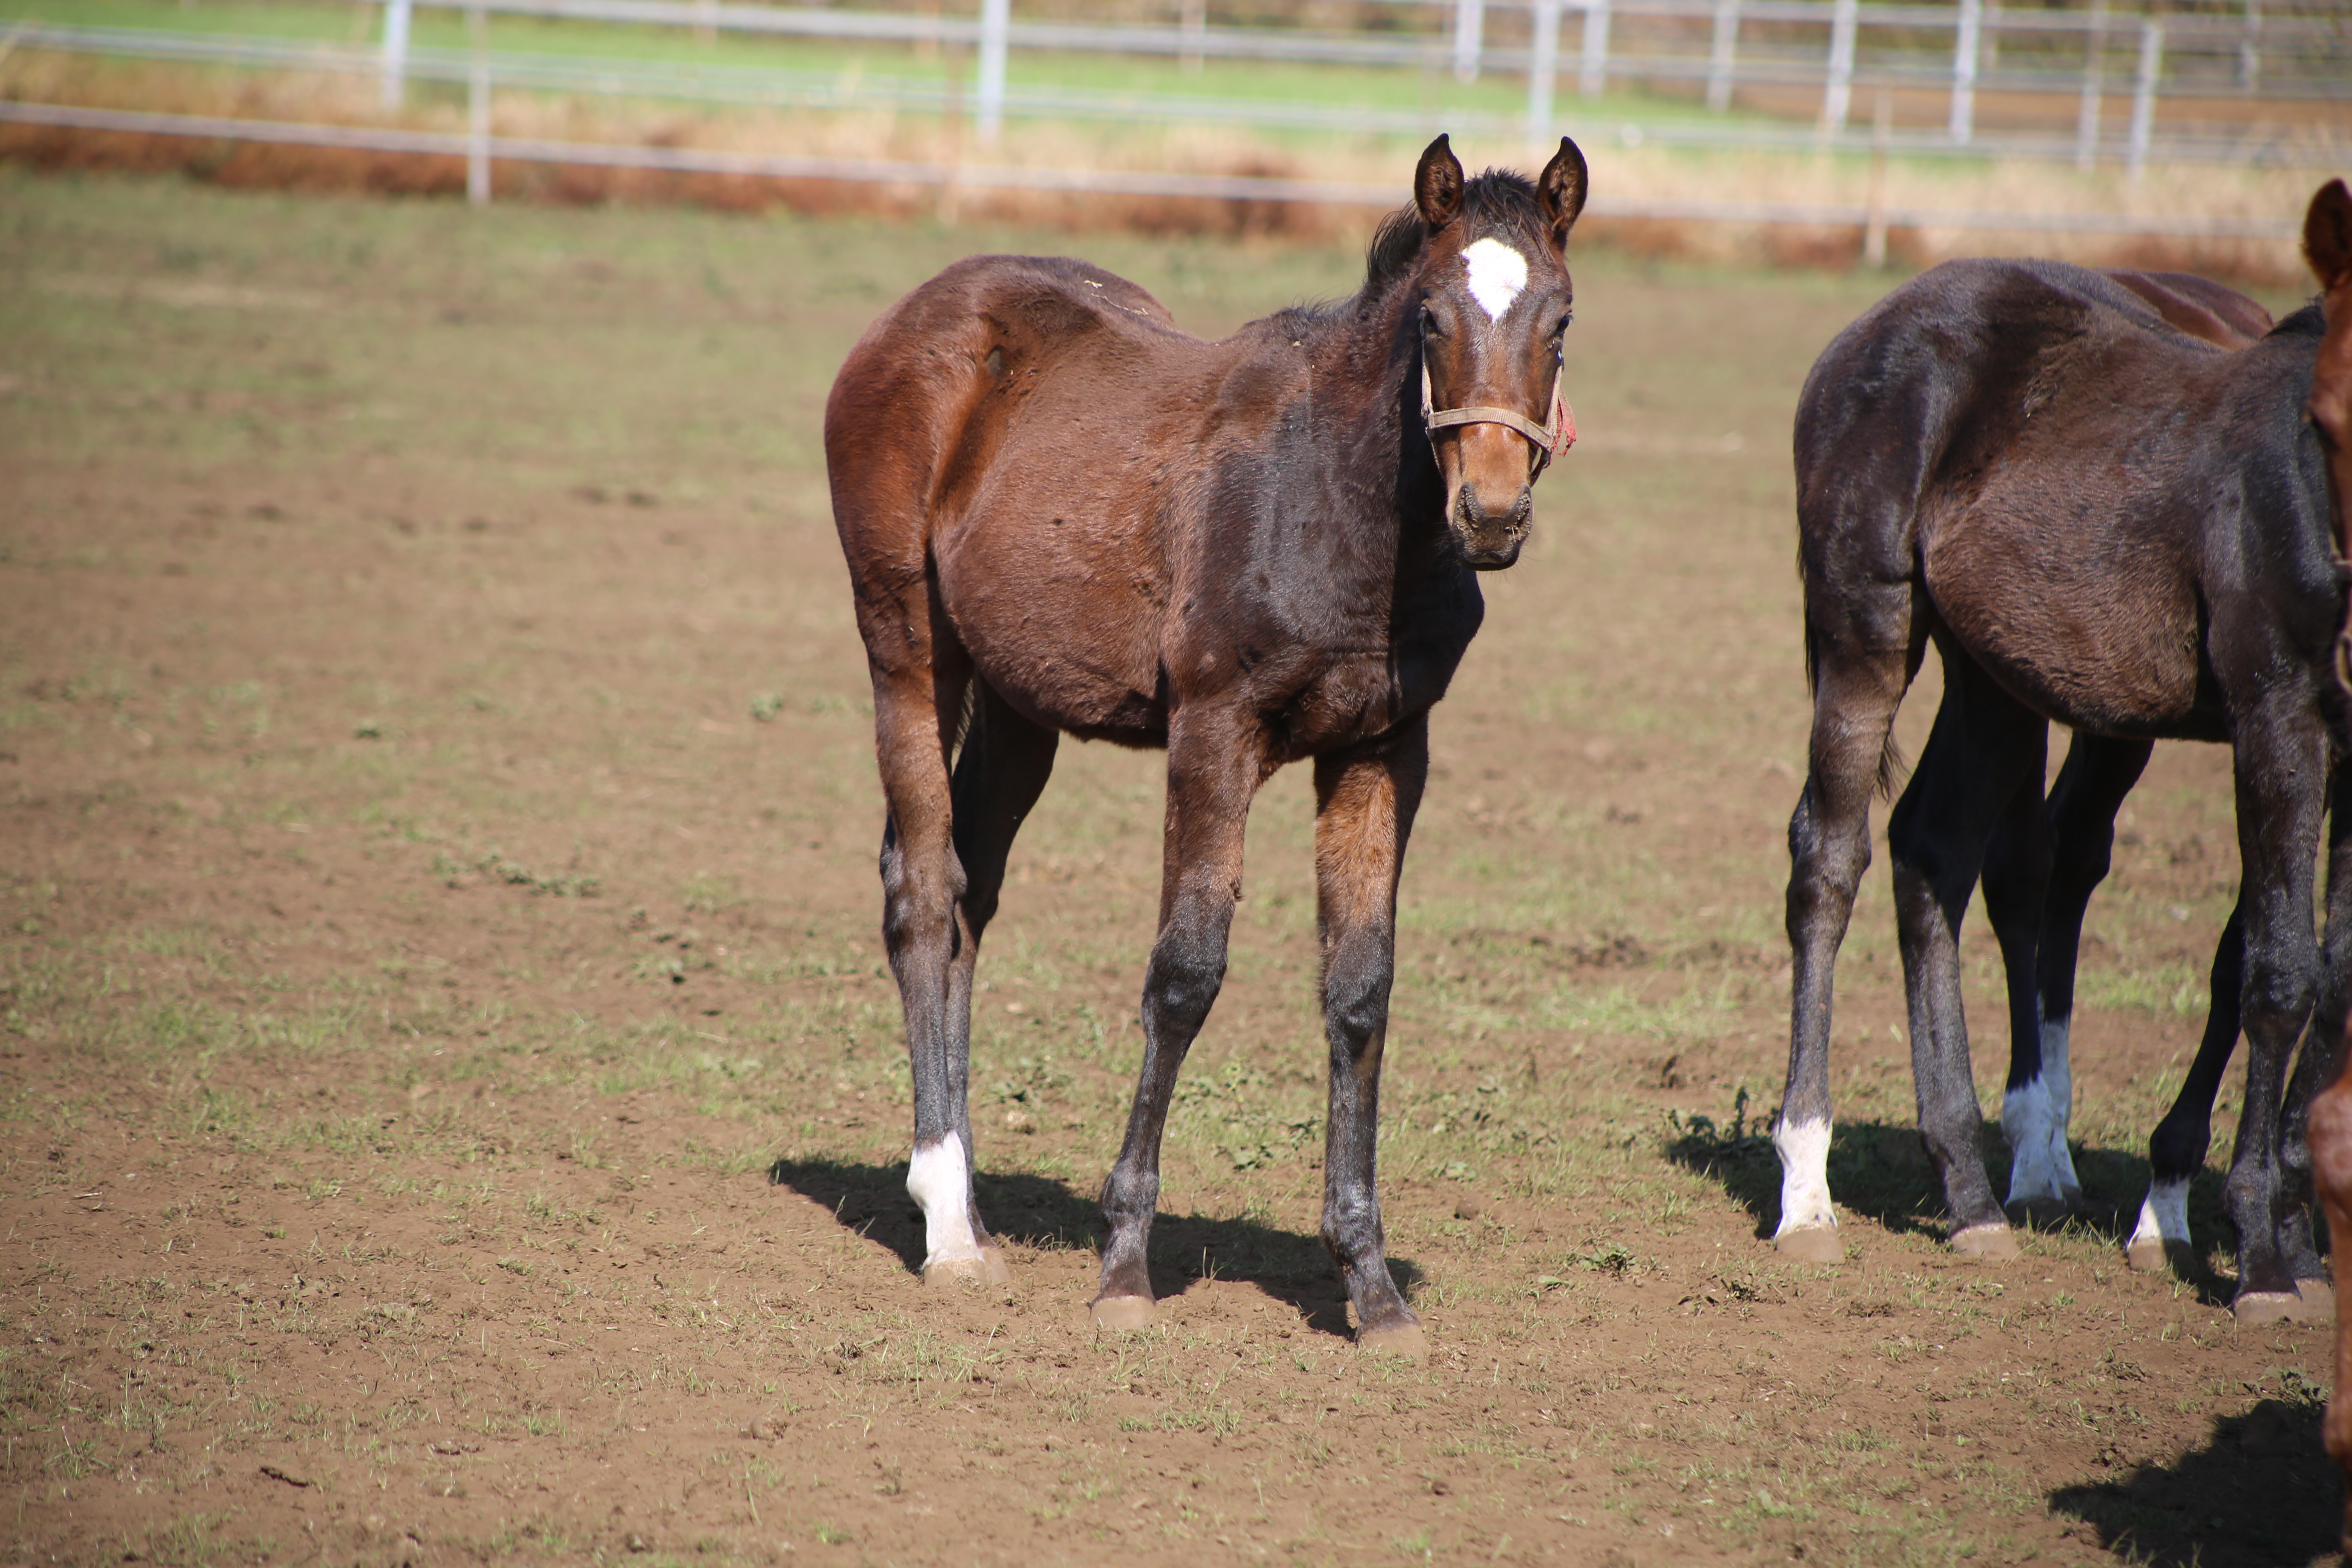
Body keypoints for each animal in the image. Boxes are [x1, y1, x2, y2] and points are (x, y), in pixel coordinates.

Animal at [823, 135, 1580, 1354]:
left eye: (1559, 317)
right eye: (1431, 319)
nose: (1491, 512)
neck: (1340, 505)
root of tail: (912, 315)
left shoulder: (1383, 749)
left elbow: (1359, 988)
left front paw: (1371, 1284)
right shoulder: (1212, 733)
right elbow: (1185, 974)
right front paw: (1124, 1264)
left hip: (1020, 707)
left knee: (968, 894)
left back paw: (972, 1204)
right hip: (907, 650)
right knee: (923, 892)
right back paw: (945, 1226)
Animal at [1778, 187, 2352, 1326]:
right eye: (2329, 410)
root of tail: (1866, 331)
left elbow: (2334, 971)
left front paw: (2297, 1239)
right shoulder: (2278, 717)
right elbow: (2277, 968)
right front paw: (2264, 1257)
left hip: (1996, 681)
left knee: (1935, 851)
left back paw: (1967, 1190)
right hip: (1867, 630)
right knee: (1830, 858)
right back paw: (1806, 1187)